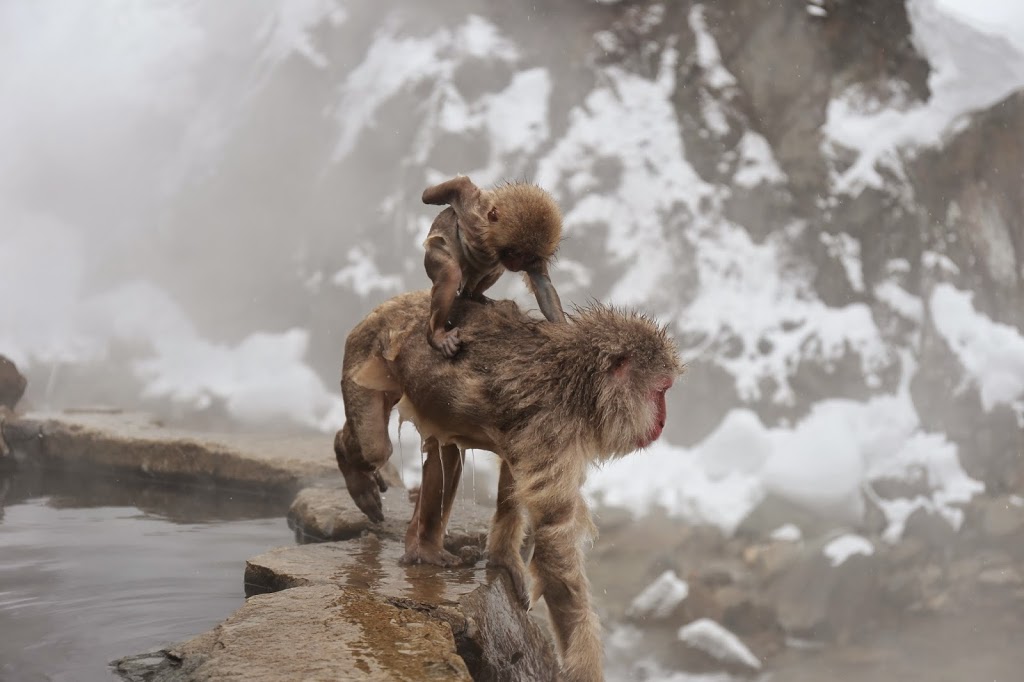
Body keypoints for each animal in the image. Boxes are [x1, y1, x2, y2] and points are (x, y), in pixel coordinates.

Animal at [423, 174, 569, 356]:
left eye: (529, 257)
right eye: (515, 253)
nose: (516, 265)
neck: (488, 239)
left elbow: (542, 284)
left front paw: (563, 331)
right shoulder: (470, 206)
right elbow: (457, 185)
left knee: (494, 270)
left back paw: (475, 297)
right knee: (451, 273)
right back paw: (436, 336)